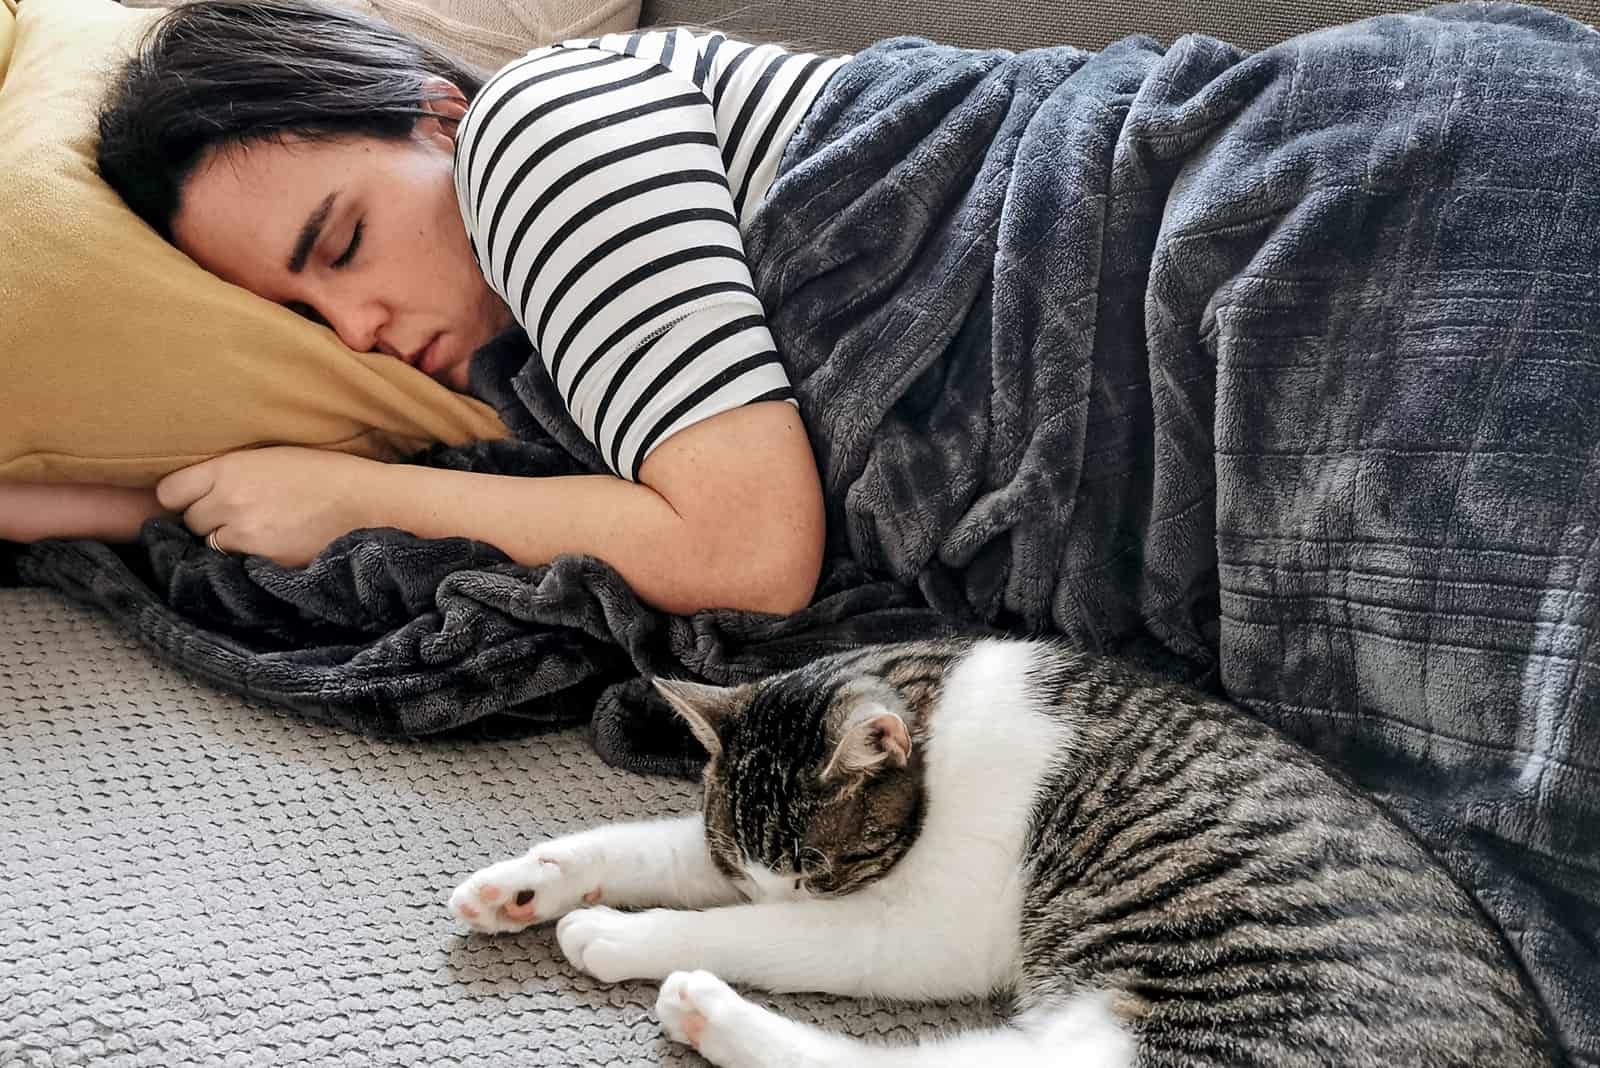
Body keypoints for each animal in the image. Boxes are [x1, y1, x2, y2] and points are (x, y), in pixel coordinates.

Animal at [448, 639, 1548, 1068]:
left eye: (820, 874)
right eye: (763, 867)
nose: (785, 894)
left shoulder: (907, 928)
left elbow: (754, 932)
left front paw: (623, 936)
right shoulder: (731, 857)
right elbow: (647, 849)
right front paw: (521, 886)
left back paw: (703, 1006)